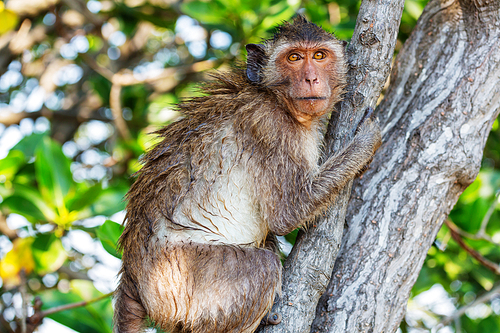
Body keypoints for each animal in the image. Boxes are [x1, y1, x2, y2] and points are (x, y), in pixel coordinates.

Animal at [113, 15, 378, 332]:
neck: (274, 97)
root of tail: (131, 274)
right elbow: (288, 212)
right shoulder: (270, 125)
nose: (311, 79)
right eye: (293, 57)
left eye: (319, 56)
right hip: (181, 279)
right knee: (262, 266)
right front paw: (367, 141)